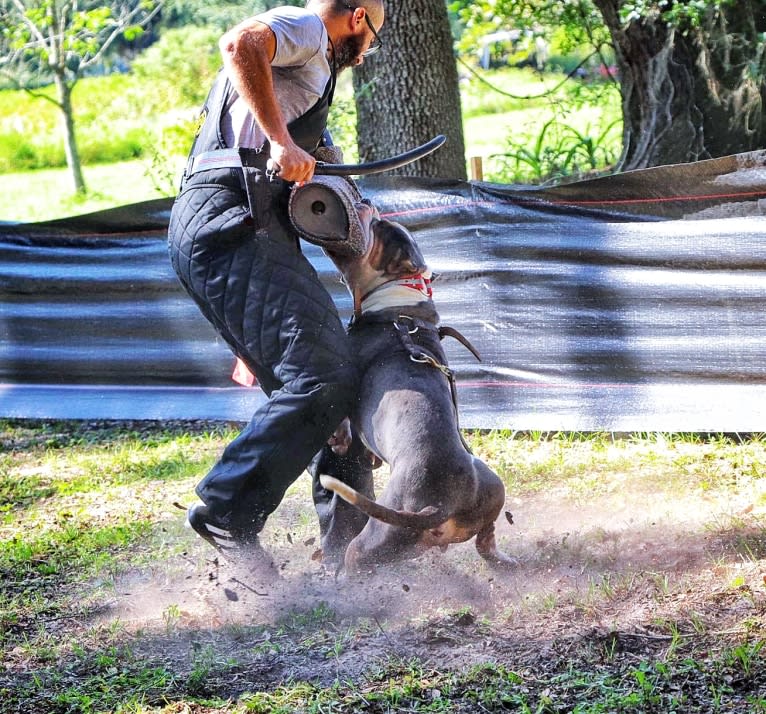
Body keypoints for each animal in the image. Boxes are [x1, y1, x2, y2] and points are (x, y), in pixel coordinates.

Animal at [318, 202, 516, 572]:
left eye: (379, 228)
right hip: (492, 488)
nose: (367, 201)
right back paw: (502, 559)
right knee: (487, 538)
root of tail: (439, 506)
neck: (396, 298)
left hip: (372, 540)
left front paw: (339, 438)